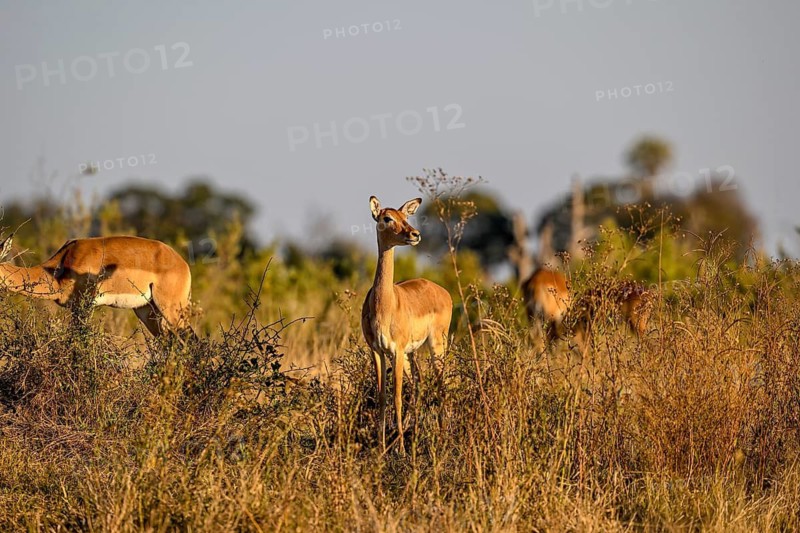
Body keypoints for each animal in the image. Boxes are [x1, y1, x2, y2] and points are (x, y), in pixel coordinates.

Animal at [361, 196, 453, 453]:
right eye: (387, 218)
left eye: (406, 217)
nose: (415, 234)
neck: (384, 305)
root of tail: (443, 292)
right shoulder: (377, 351)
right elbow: (383, 395)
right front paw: (381, 445)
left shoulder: (397, 351)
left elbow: (397, 396)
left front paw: (400, 448)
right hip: (413, 354)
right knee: (419, 383)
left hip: (435, 346)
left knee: (441, 383)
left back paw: (442, 437)